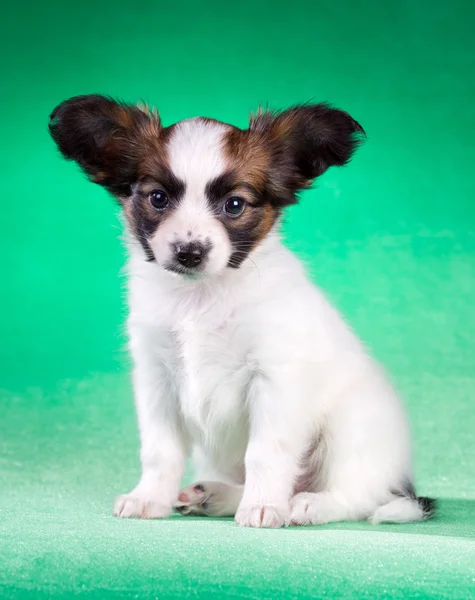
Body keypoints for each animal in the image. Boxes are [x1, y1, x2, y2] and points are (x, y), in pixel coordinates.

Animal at [47, 92, 436, 524]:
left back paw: (309, 504)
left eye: (235, 205)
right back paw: (215, 496)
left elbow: (265, 453)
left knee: (360, 497)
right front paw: (149, 498)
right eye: (158, 198)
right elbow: (159, 450)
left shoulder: (273, 378)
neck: (200, 299)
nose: (190, 252)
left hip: (349, 427)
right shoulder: (156, 379)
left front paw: (265, 505)